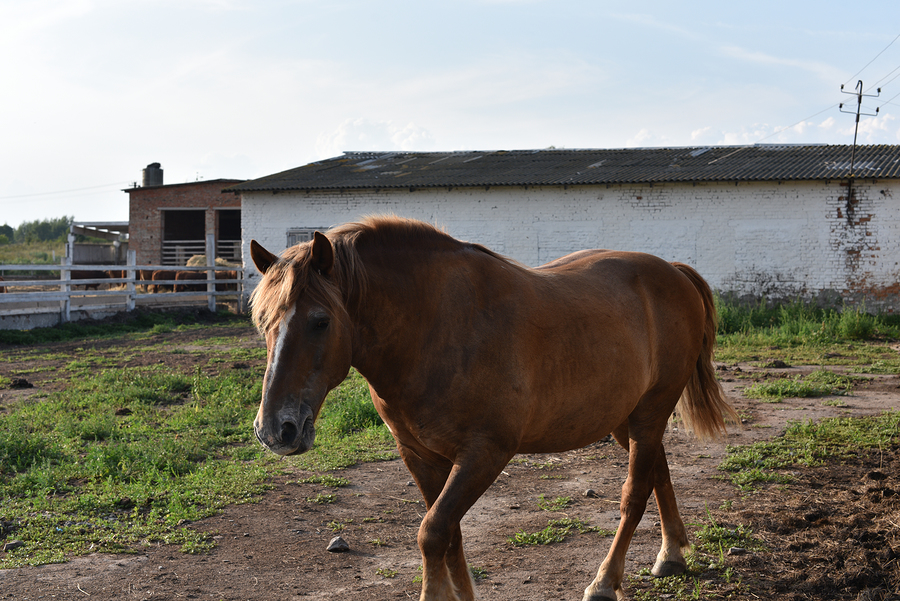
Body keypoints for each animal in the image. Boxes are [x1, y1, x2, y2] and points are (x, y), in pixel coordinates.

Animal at [248, 217, 740, 600]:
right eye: (263, 322)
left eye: (320, 321)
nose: (276, 429)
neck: (435, 327)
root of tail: (673, 272)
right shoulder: (420, 456)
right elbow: (448, 533)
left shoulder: (485, 453)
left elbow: (432, 531)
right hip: (626, 419)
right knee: (660, 470)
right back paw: (671, 555)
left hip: (650, 413)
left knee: (634, 493)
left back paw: (604, 582)